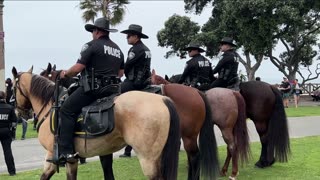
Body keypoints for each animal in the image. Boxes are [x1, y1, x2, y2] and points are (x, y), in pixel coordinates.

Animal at [12, 66, 181, 180]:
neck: (52, 105)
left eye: (12, 87)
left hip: (148, 160)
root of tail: (163, 99)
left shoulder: (59, 156)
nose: (20, 113)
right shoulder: (80, 157)